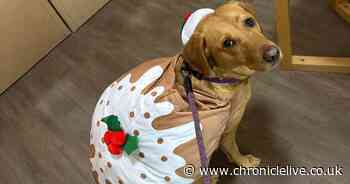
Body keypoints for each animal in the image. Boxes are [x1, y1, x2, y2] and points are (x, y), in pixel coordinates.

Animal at [89, 0, 282, 183]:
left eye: (249, 22)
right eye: (228, 43)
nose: (273, 54)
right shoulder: (227, 131)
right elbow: (233, 150)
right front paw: (244, 161)